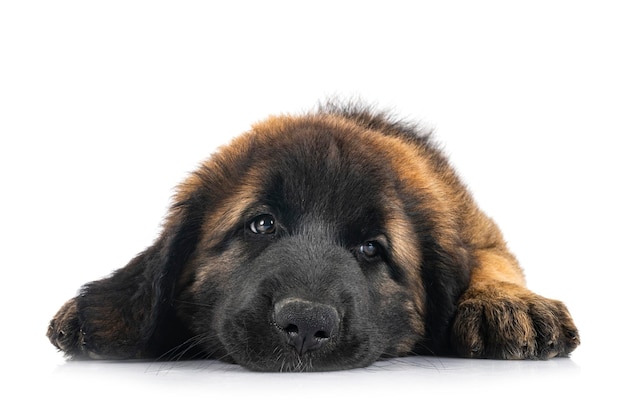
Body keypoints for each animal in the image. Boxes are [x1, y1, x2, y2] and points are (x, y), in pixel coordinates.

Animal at [46, 101, 576, 370]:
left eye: (371, 248)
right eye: (261, 223)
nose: (305, 325)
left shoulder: (475, 227)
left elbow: (492, 259)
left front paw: (505, 300)